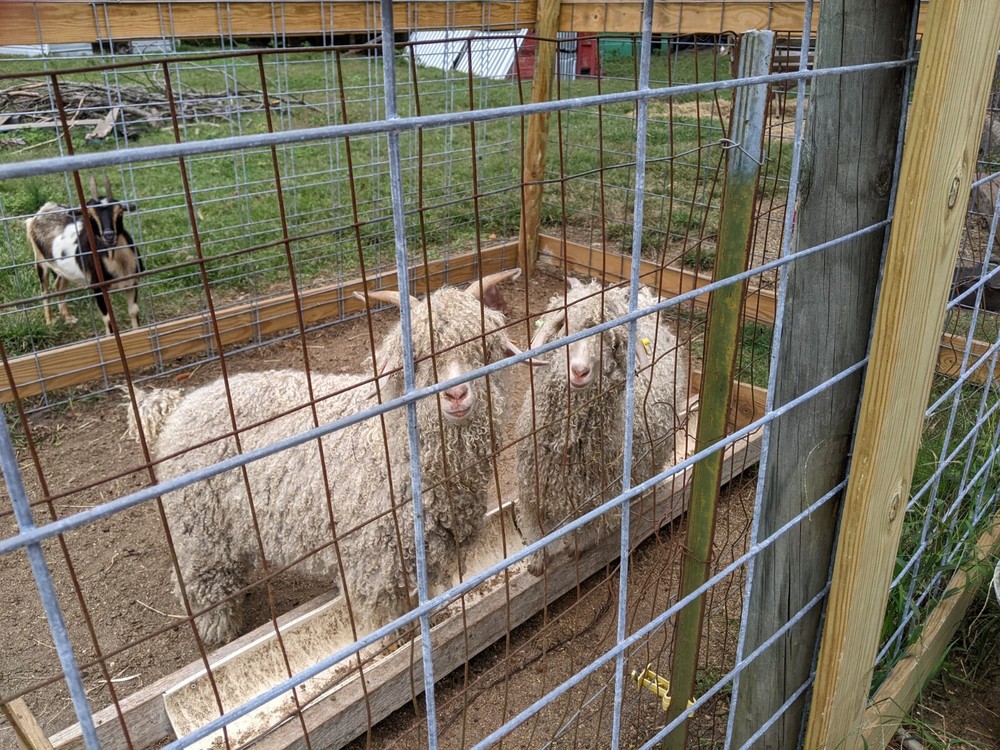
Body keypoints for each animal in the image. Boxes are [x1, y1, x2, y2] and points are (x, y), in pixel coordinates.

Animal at [26, 174, 141, 335]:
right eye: (90, 215)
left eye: (119, 212)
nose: (109, 236)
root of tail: (43, 210)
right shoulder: (98, 288)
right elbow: (108, 320)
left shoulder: (131, 284)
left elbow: (134, 313)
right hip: (40, 260)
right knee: (45, 290)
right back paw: (49, 322)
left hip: (63, 269)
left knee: (59, 285)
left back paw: (68, 318)